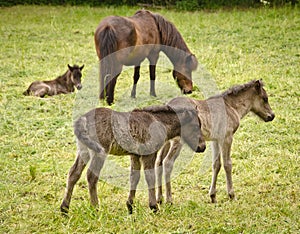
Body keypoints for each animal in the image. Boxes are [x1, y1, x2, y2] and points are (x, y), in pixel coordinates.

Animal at [61, 103, 206, 215]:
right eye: (195, 126)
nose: (202, 147)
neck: (158, 121)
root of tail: (82, 120)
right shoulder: (149, 154)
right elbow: (150, 177)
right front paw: (154, 207)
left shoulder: (135, 155)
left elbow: (134, 177)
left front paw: (130, 206)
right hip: (99, 151)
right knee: (91, 176)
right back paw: (96, 208)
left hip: (83, 150)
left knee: (73, 173)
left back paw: (64, 209)